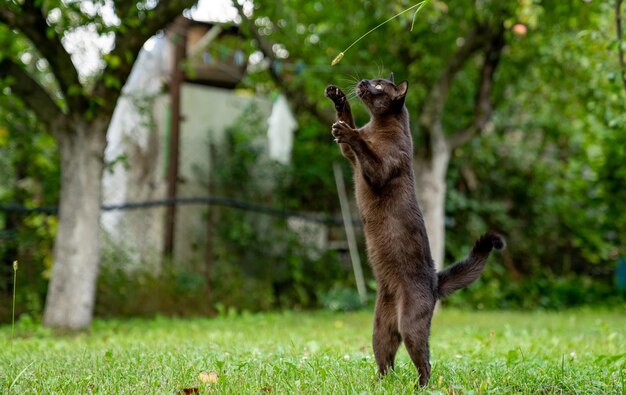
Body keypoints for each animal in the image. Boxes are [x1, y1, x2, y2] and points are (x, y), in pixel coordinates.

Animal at [322, 73, 502, 386]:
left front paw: (346, 130)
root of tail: (434, 282)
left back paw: (420, 387)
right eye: (371, 80)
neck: (377, 126)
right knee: (386, 361)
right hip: (380, 329)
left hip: (411, 326)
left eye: (378, 86)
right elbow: (349, 125)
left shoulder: (380, 168)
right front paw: (337, 97)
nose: (364, 81)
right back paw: (379, 385)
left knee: (425, 363)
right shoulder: (350, 158)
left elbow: (362, 144)